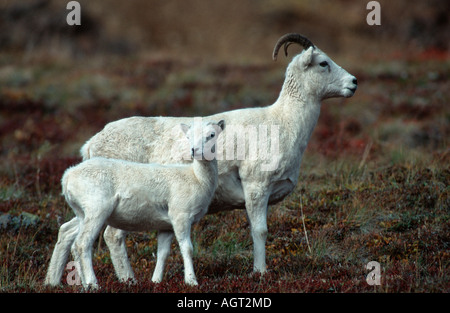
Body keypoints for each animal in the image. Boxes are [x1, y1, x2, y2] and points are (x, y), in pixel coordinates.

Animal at [45, 119, 225, 288]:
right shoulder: (180, 216)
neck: (197, 178)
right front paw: (191, 281)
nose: (195, 151)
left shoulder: (166, 226)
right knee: (83, 243)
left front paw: (156, 281)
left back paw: (74, 283)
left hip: (82, 213)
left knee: (72, 240)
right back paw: (93, 284)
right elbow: (187, 248)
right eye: (188, 137)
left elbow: (163, 253)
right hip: (96, 210)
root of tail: (68, 177)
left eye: (211, 135)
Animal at [78, 33, 358, 278]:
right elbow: (260, 232)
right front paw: (260, 272)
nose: (353, 83)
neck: (283, 122)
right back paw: (129, 280)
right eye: (323, 63)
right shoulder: (256, 188)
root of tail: (92, 143)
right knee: (112, 237)